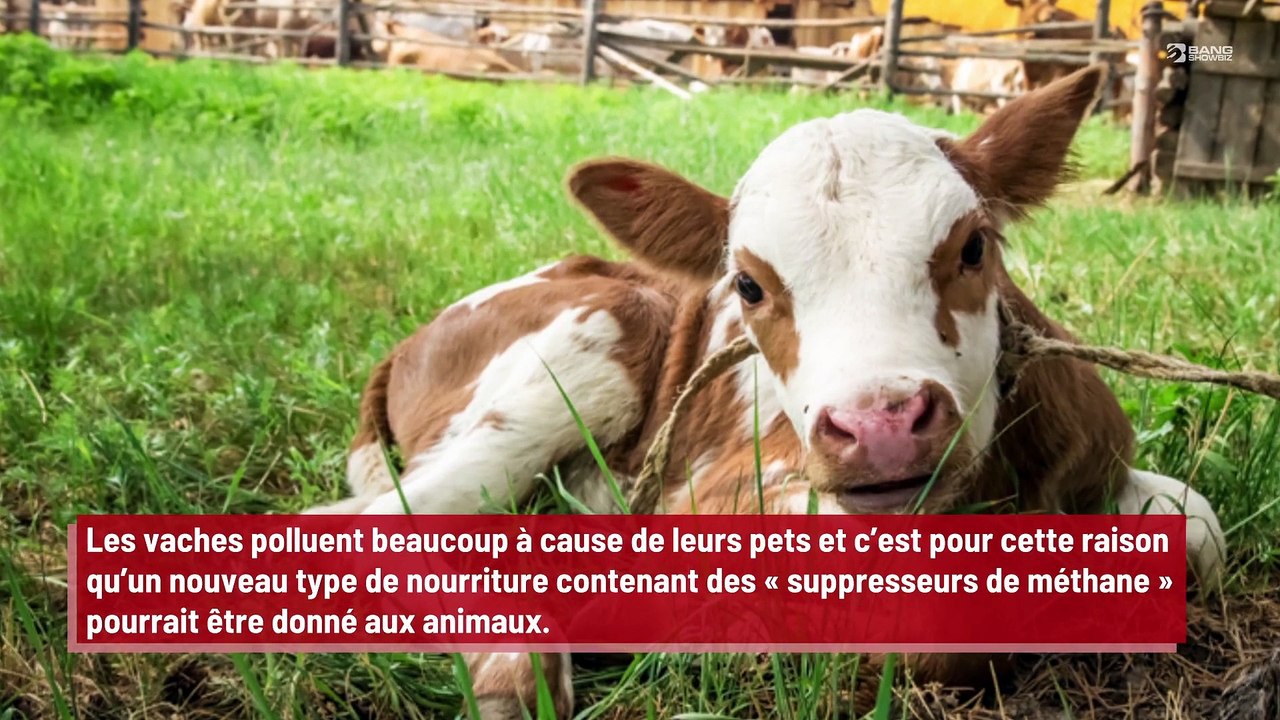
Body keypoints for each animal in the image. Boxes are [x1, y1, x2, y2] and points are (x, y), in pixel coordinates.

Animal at [308, 66, 1224, 718]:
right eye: (747, 285)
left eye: (972, 247)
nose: (881, 425)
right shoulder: (724, 495)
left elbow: (1196, 528)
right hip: (584, 346)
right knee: (377, 521)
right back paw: (514, 673)